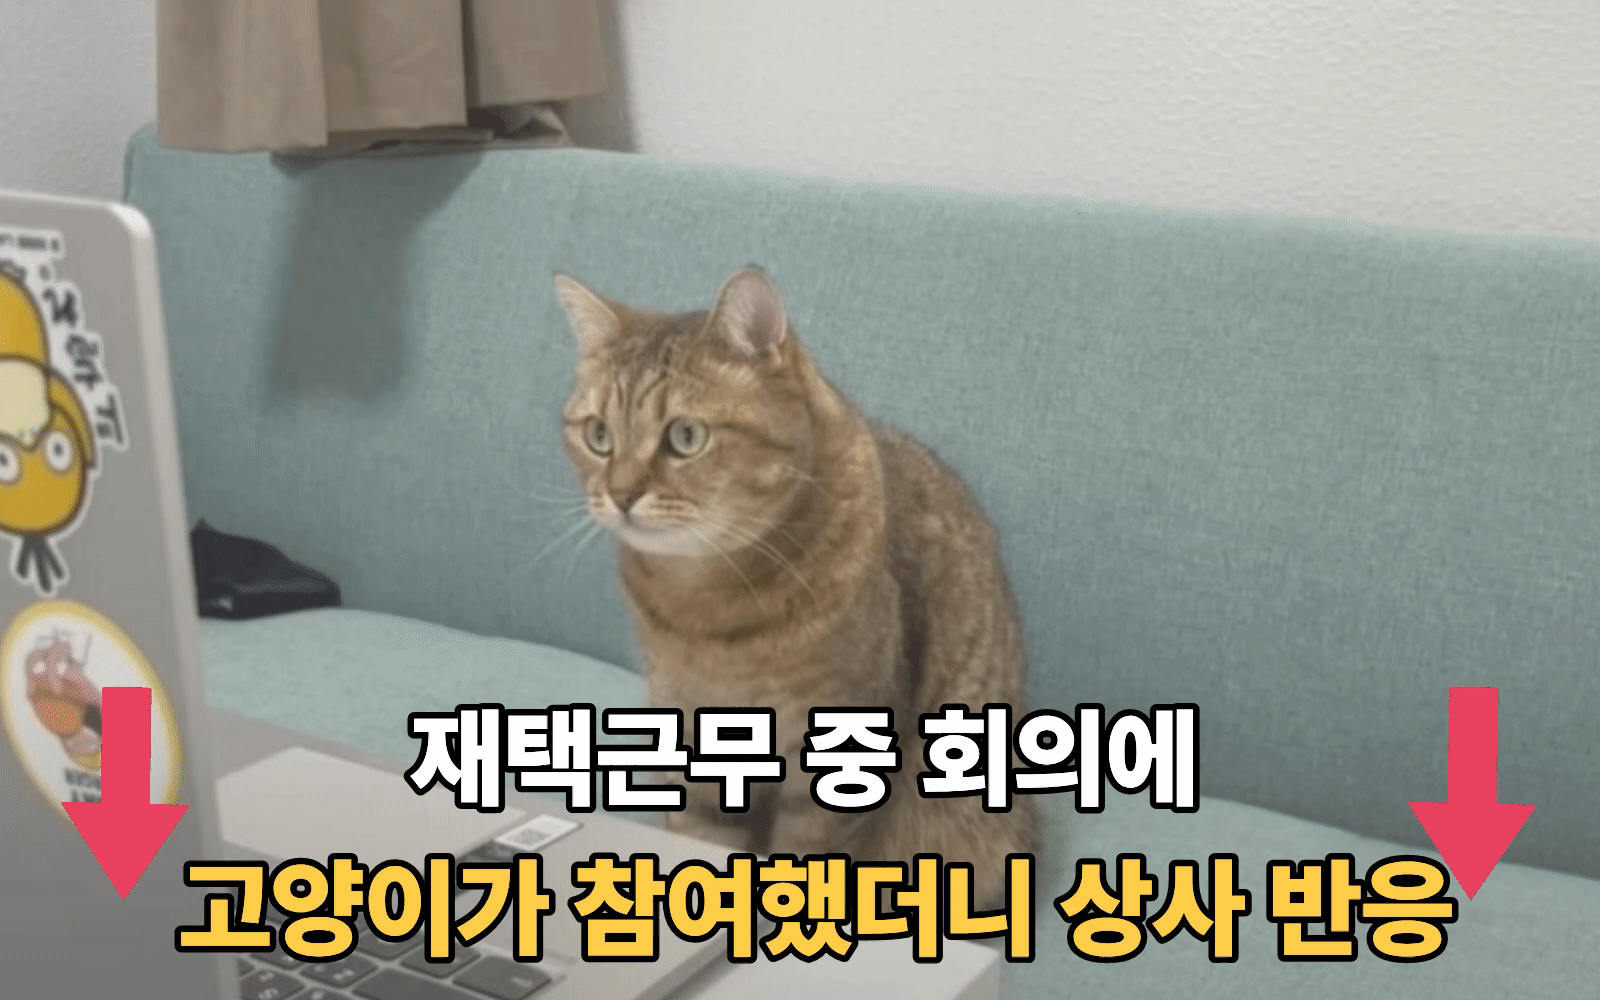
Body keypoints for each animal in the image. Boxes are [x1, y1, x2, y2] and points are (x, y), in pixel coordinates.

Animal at [554, 265, 1037, 907]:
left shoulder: (836, 757)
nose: (621, 494)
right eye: (599, 435)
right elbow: (701, 841)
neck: (708, 611)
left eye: (686, 436)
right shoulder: (695, 743)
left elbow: (811, 857)